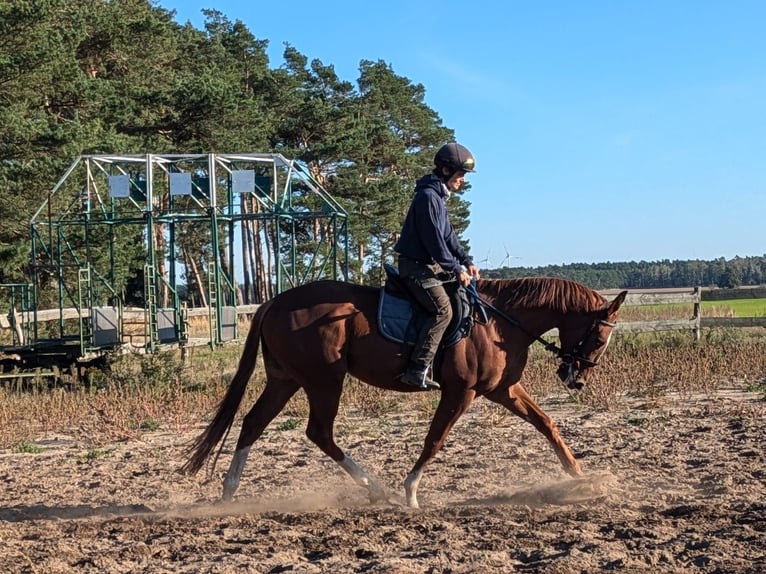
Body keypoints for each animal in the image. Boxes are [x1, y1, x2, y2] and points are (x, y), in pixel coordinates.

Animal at [183, 280, 628, 508]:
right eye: (600, 336)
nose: (576, 379)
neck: (500, 323)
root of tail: (274, 302)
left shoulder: (503, 389)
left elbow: (547, 423)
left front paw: (581, 476)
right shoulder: (461, 393)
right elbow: (435, 439)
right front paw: (411, 492)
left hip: (285, 379)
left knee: (253, 423)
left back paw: (229, 489)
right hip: (324, 380)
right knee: (318, 432)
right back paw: (376, 488)